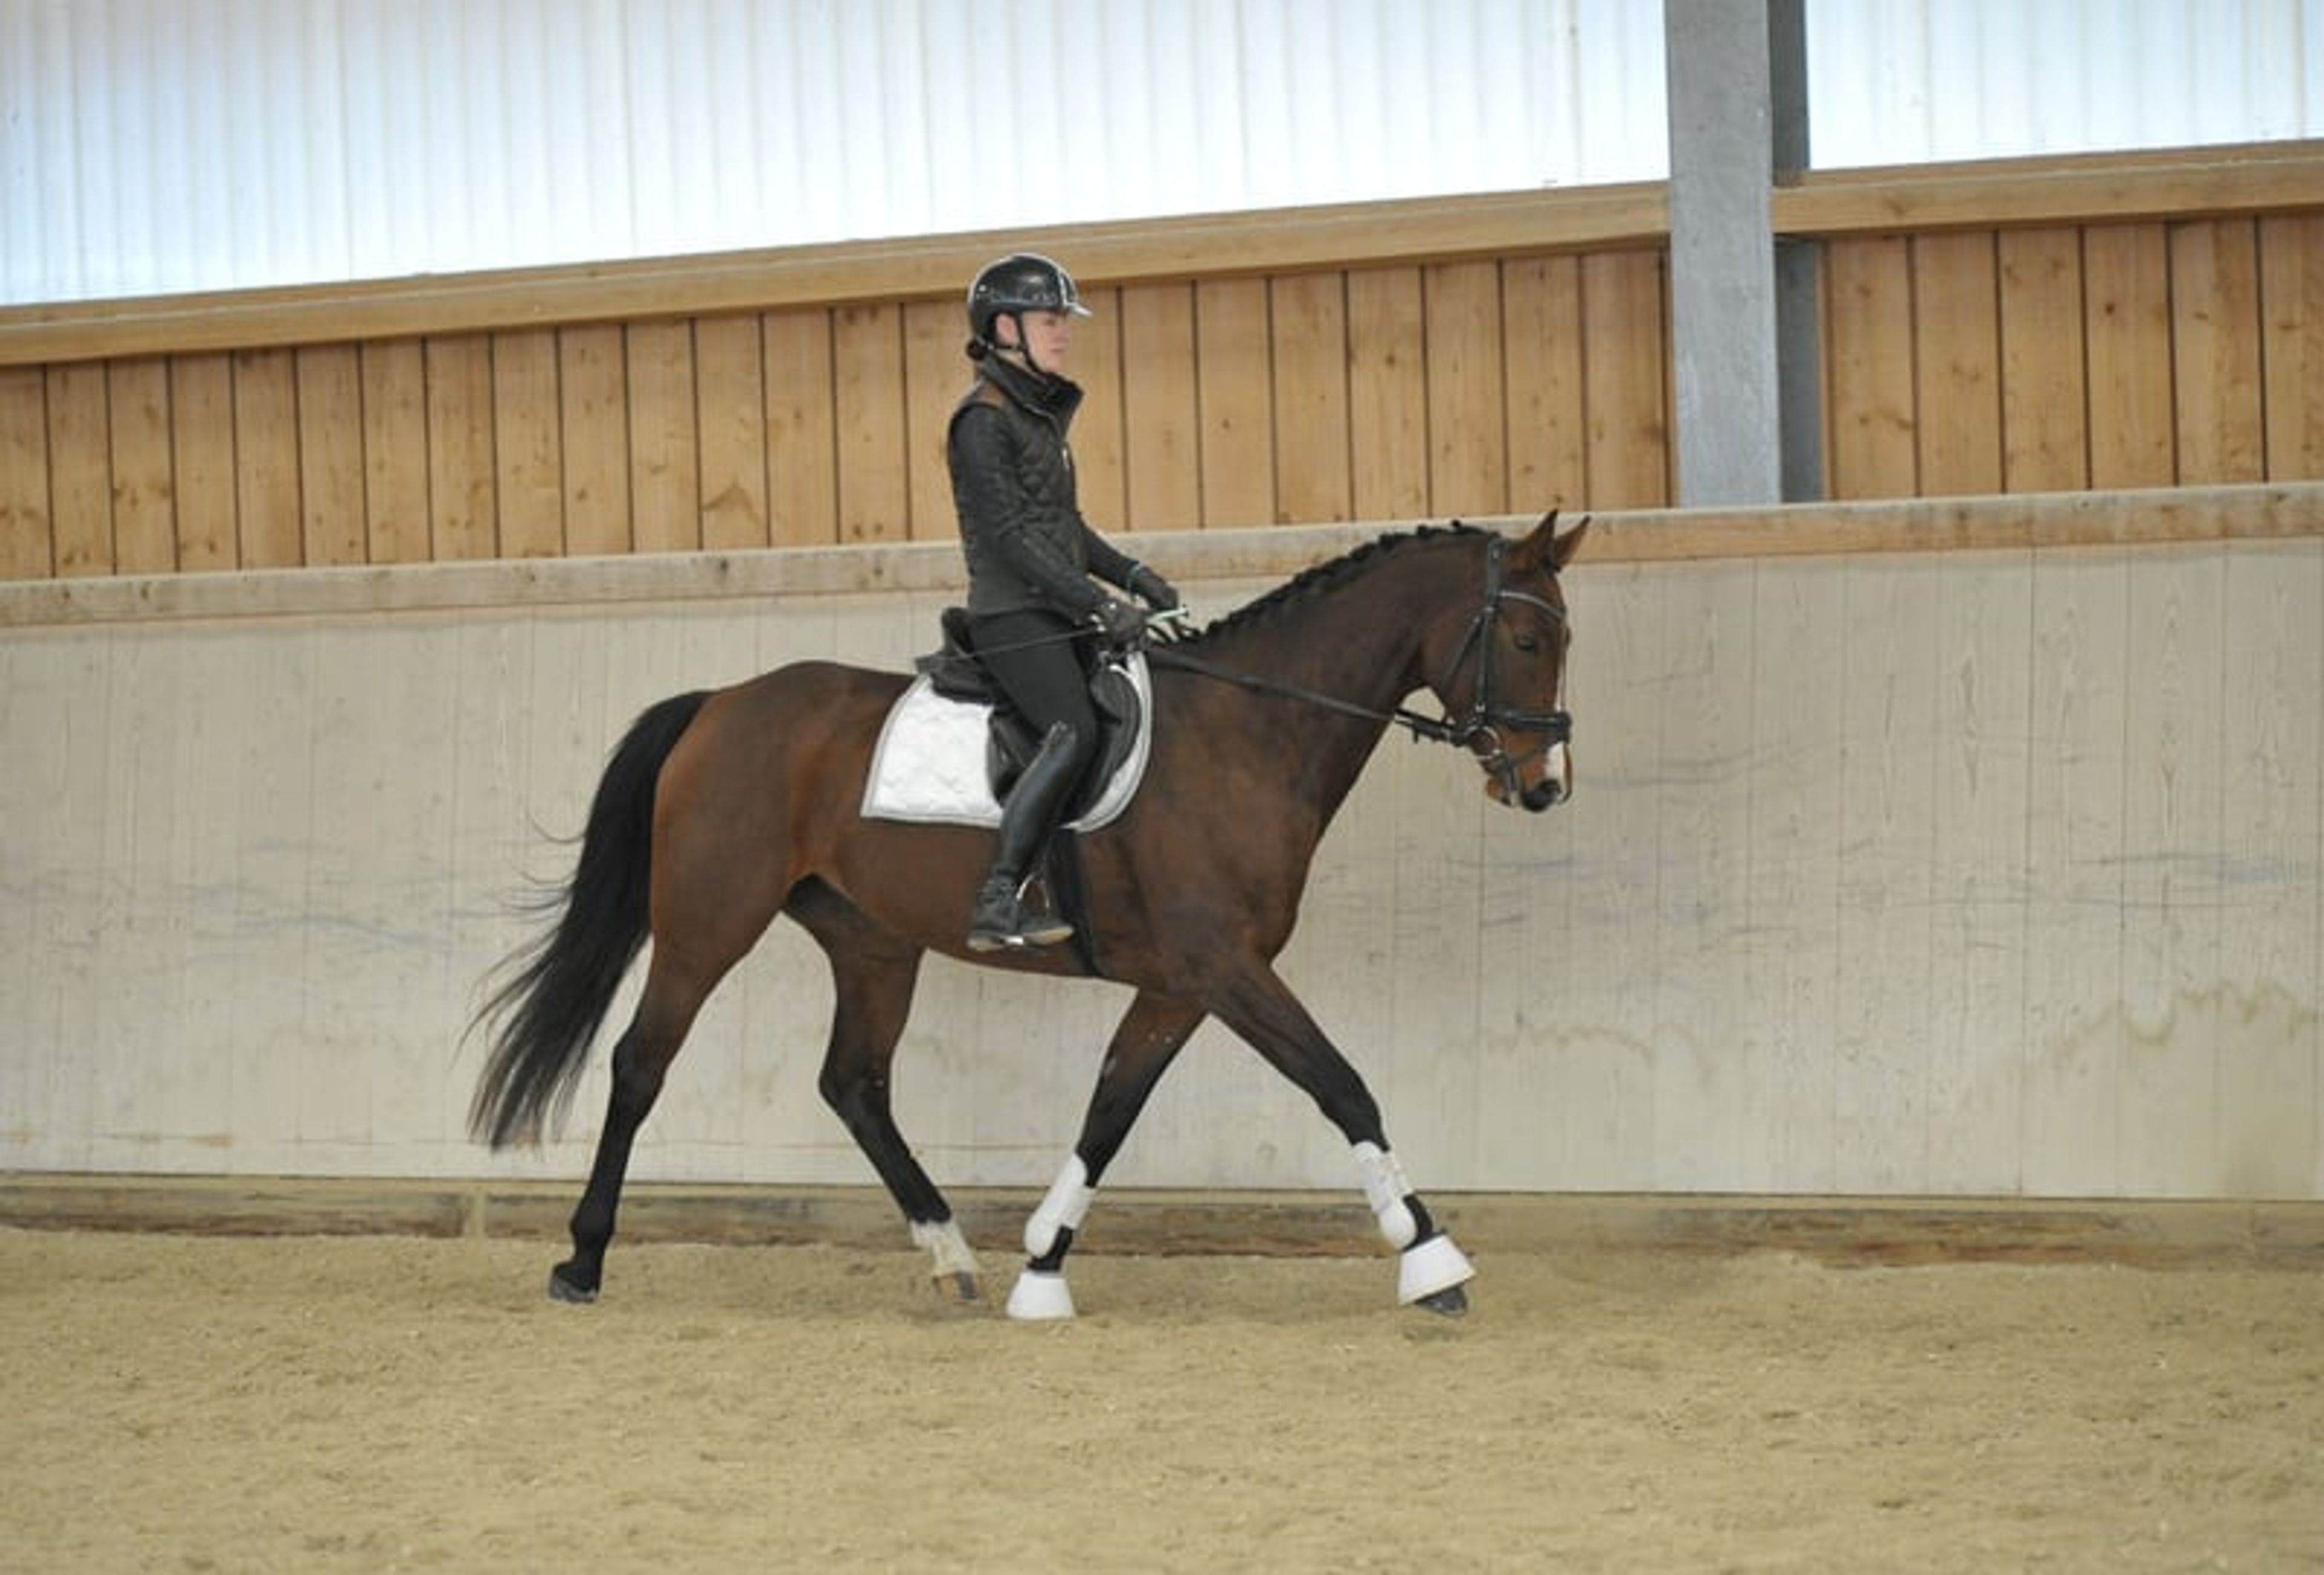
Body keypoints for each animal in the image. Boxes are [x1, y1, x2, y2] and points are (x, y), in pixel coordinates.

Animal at [468, 510, 1588, 1319]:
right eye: (1529, 635)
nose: (1544, 787)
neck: (1248, 734)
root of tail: (719, 703)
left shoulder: (1184, 982)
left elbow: (1109, 1109)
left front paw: (1043, 1265)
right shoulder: (1225, 967)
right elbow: (1342, 1085)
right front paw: (1432, 1258)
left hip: (872, 940)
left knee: (855, 1084)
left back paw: (950, 1253)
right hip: (710, 921)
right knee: (640, 1062)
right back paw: (582, 1260)